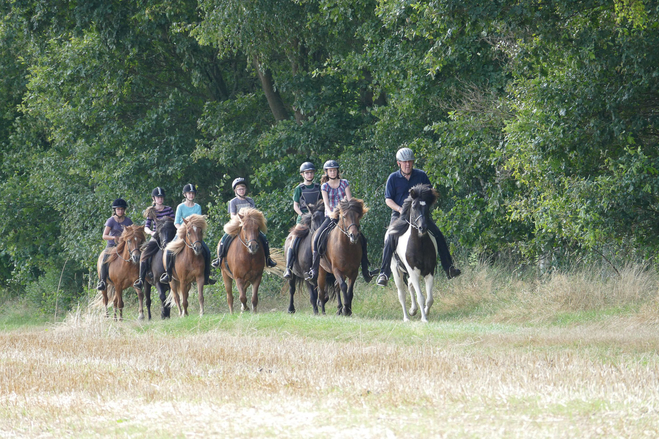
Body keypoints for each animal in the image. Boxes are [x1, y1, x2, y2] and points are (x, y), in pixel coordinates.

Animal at [390, 183, 440, 324]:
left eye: (426, 207)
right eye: (414, 206)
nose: (423, 228)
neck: (419, 244)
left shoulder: (429, 272)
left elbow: (429, 299)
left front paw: (425, 312)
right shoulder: (414, 272)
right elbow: (421, 297)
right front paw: (424, 318)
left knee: (410, 286)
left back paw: (413, 310)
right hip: (396, 272)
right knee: (401, 294)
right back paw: (406, 317)